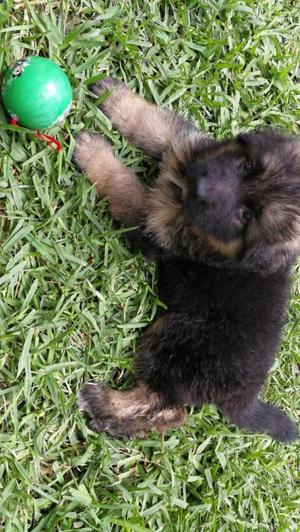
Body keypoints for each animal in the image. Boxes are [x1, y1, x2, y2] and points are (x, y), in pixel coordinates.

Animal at [73, 79, 300, 442]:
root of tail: (244, 399)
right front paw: (116, 97)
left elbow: (124, 184)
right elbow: (155, 123)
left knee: (167, 406)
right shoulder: (185, 145)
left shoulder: (152, 220)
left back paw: (104, 404)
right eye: (248, 167)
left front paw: (94, 152)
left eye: (246, 216)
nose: (201, 183)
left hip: (174, 339)